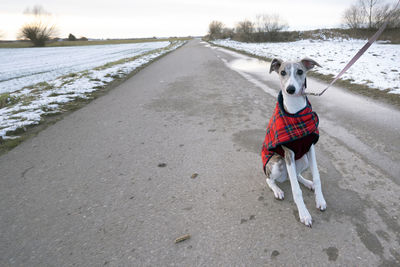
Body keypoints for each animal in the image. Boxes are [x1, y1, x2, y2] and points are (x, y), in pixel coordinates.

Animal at [260, 57, 326, 227]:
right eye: (282, 72)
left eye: (300, 71)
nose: (290, 89)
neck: (296, 113)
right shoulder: (288, 152)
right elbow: (296, 190)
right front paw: (304, 214)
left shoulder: (310, 147)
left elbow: (317, 177)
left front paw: (320, 199)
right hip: (277, 162)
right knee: (269, 179)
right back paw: (277, 190)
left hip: (302, 160)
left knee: (295, 176)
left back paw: (307, 183)